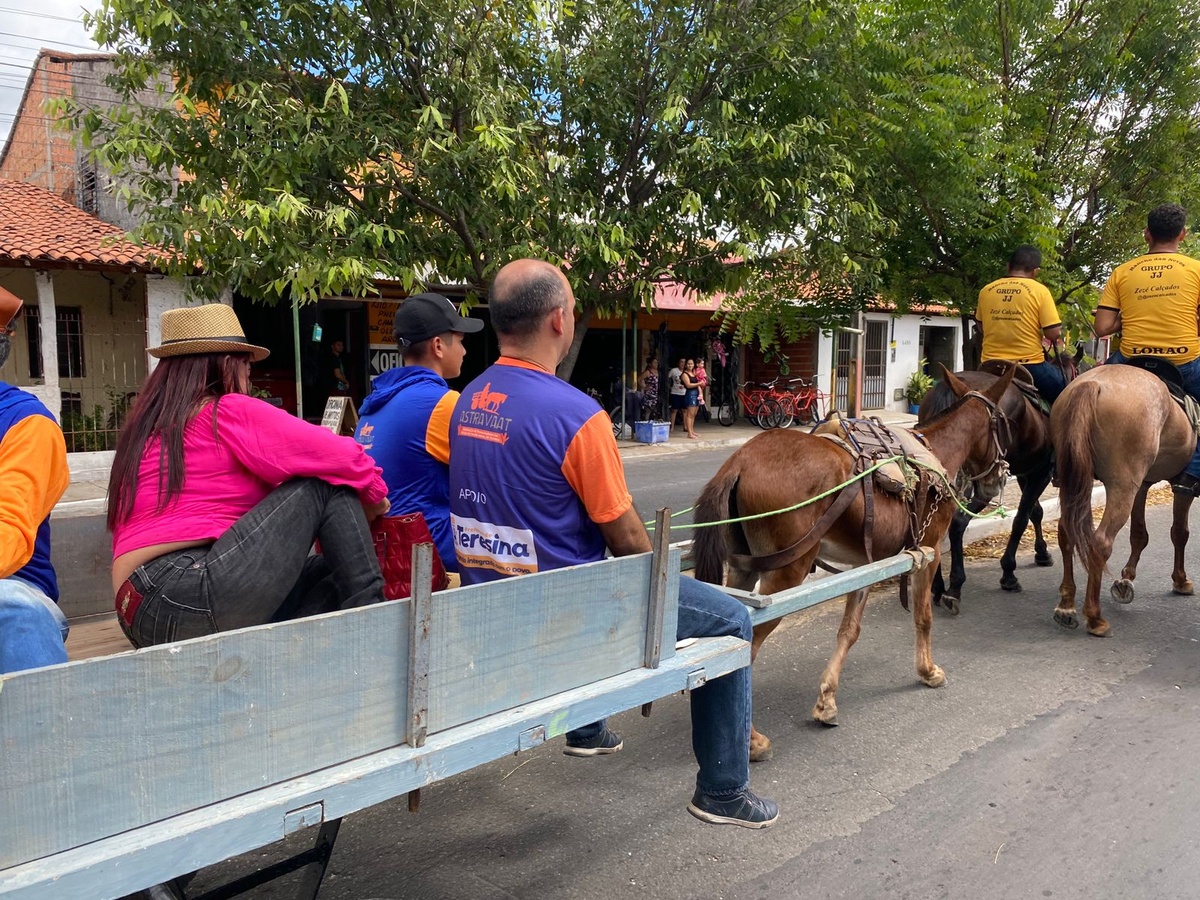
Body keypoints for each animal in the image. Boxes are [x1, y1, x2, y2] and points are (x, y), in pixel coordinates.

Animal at [696, 367, 1012, 763]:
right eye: (1003, 424)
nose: (998, 479)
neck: (933, 454)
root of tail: (740, 460)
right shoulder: (928, 551)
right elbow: (923, 617)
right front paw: (927, 671)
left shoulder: (867, 564)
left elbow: (850, 630)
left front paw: (827, 701)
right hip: (786, 573)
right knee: (748, 649)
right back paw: (751, 740)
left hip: (744, 568)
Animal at [1046, 362, 1195, 638]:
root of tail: (1092, 384)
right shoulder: (1181, 487)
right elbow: (1180, 532)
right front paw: (1180, 580)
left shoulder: (1143, 484)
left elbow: (1139, 533)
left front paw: (1126, 579)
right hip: (1121, 486)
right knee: (1101, 542)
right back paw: (1095, 618)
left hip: (1076, 480)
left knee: (1066, 532)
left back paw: (1066, 606)